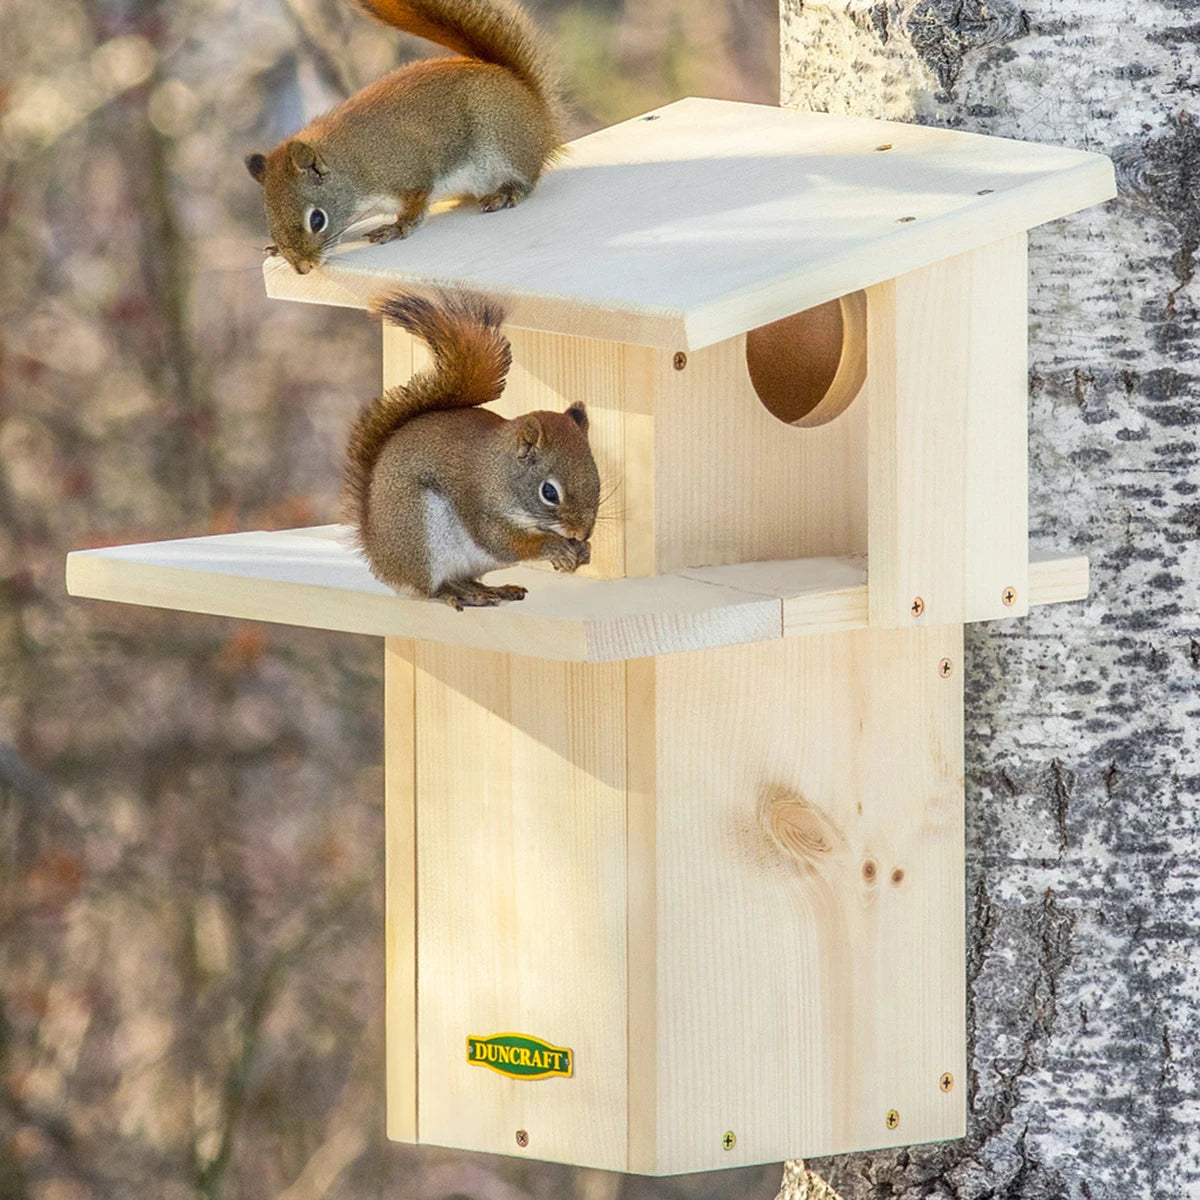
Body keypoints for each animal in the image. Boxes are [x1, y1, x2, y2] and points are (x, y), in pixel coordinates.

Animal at [245, 0, 562, 274]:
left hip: (502, 143)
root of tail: (536, 110)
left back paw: (506, 193)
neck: (355, 163)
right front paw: (275, 248)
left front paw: (397, 227)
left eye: (317, 219)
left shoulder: (410, 175)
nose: (303, 268)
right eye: (269, 219)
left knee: (525, 181)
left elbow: (415, 207)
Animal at [342, 290, 600, 609]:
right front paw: (556, 548)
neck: (501, 471)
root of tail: (377, 553)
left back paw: (490, 589)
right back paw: (456, 593)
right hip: (420, 537)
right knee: (429, 588)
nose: (581, 532)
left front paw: (583, 550)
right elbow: (505, 542)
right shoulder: (482, 511)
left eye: (597, 481)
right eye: (549, 492)